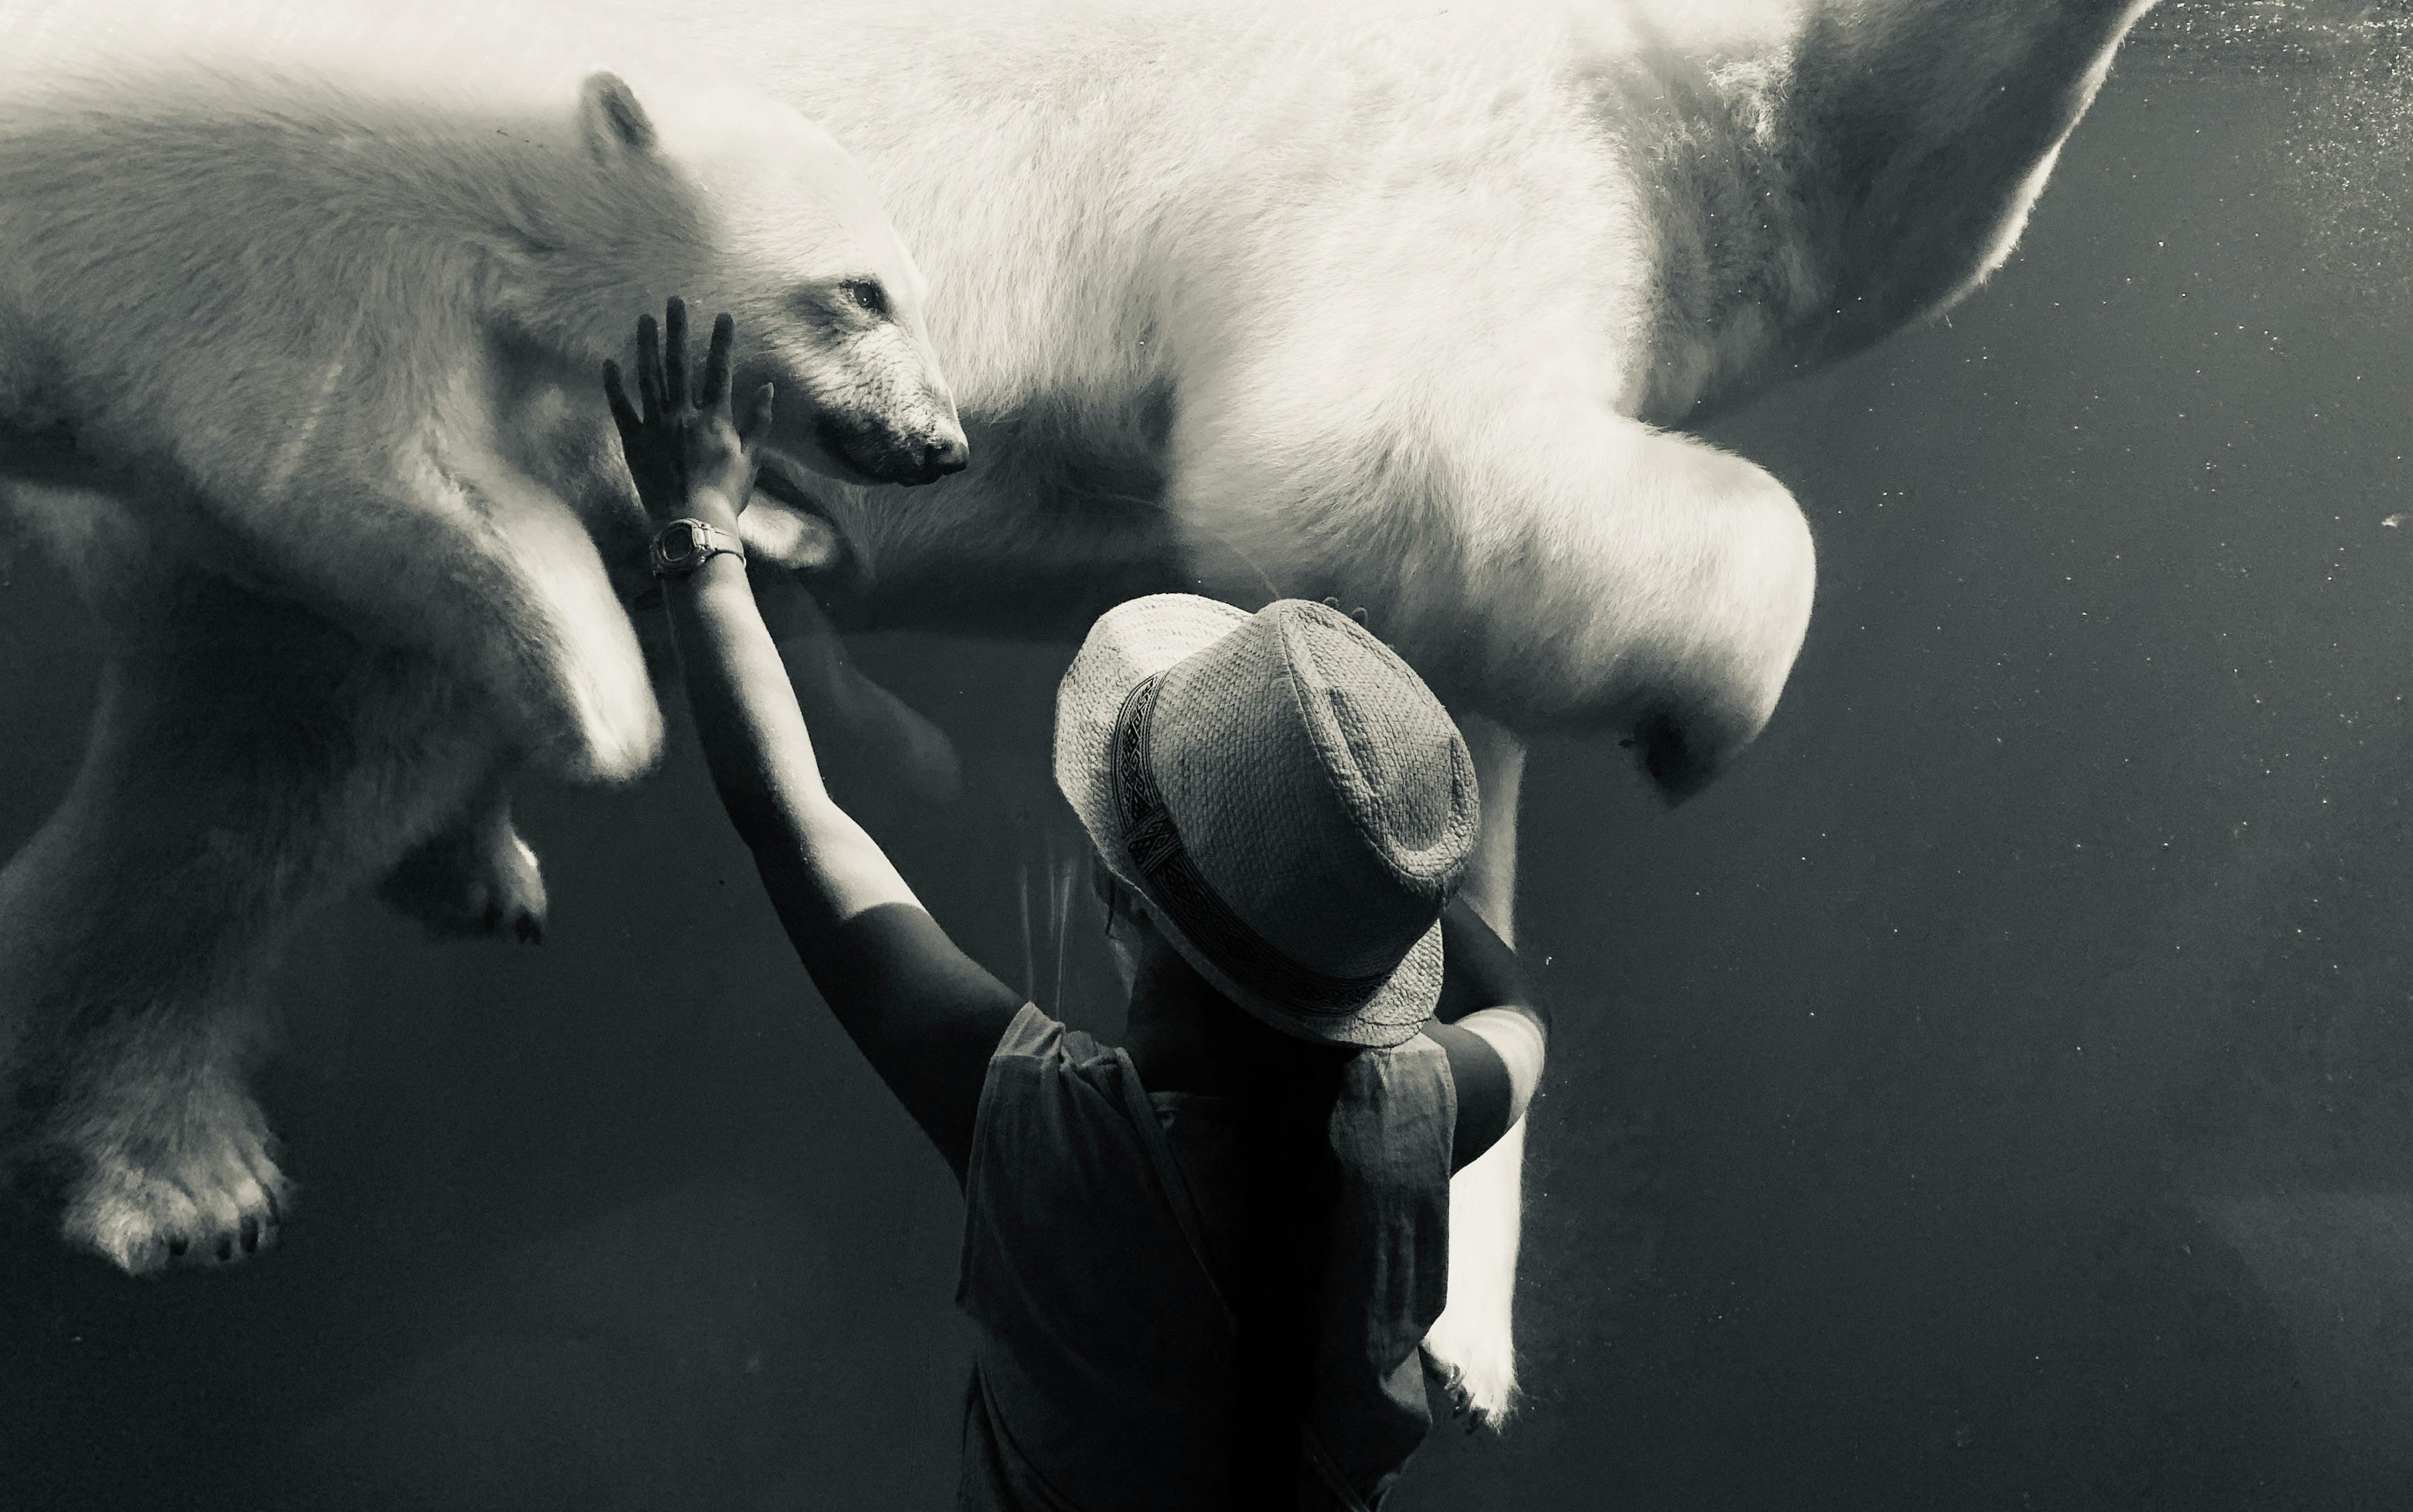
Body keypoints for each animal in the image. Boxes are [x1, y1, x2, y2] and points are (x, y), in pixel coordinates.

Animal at [0, 2, 965, 1276]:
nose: (941, 445)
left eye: (912, 286)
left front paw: (777, 526)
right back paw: (190, 1182)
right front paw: (609, 709)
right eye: (858, 292)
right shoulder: (285, 276)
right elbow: (386, 472)